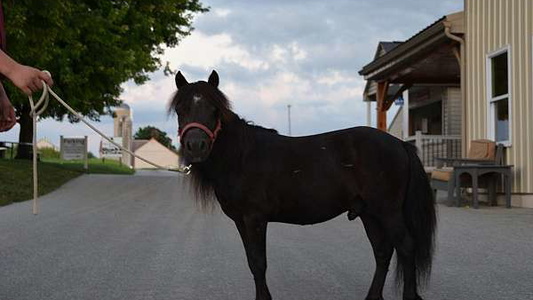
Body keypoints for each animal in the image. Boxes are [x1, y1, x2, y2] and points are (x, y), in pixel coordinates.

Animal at [171, 71, 436, 300]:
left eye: (214, 109)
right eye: (180, 110)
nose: (196, 146)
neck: (241, 156)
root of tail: (400, 144)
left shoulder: (255, 219)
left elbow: (259, 263)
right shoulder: (241, 221)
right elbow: (252, 262)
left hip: (388, 211)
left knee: (406, 247)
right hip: (369, 213)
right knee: (382, 252)